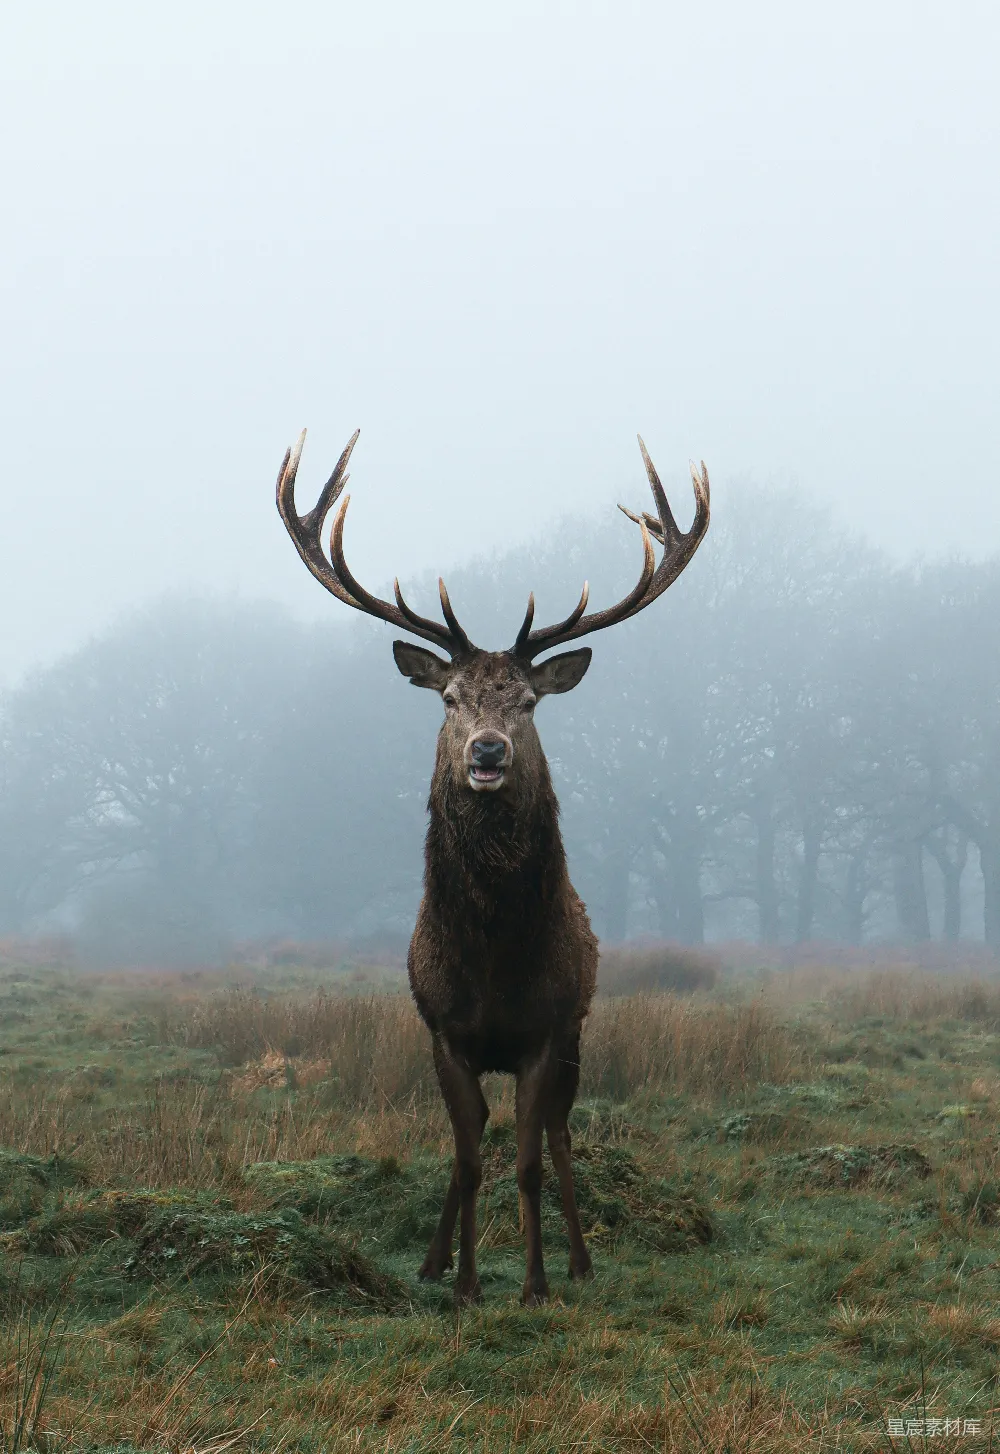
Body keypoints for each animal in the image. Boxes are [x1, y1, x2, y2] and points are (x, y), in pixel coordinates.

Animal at [276, 427, 710, 1306]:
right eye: (449, 699)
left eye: (529, 703)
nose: (486, 752)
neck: (494, 961)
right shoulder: (444, 1032)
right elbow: (471, 1158)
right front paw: (466, 1283)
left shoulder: (547, 1030)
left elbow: (530, 1161)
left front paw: (536, 1282)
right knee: (470, 1141)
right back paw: (434, 1260)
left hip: (578, 1035)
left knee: (561, 1135)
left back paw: (579, 1260)